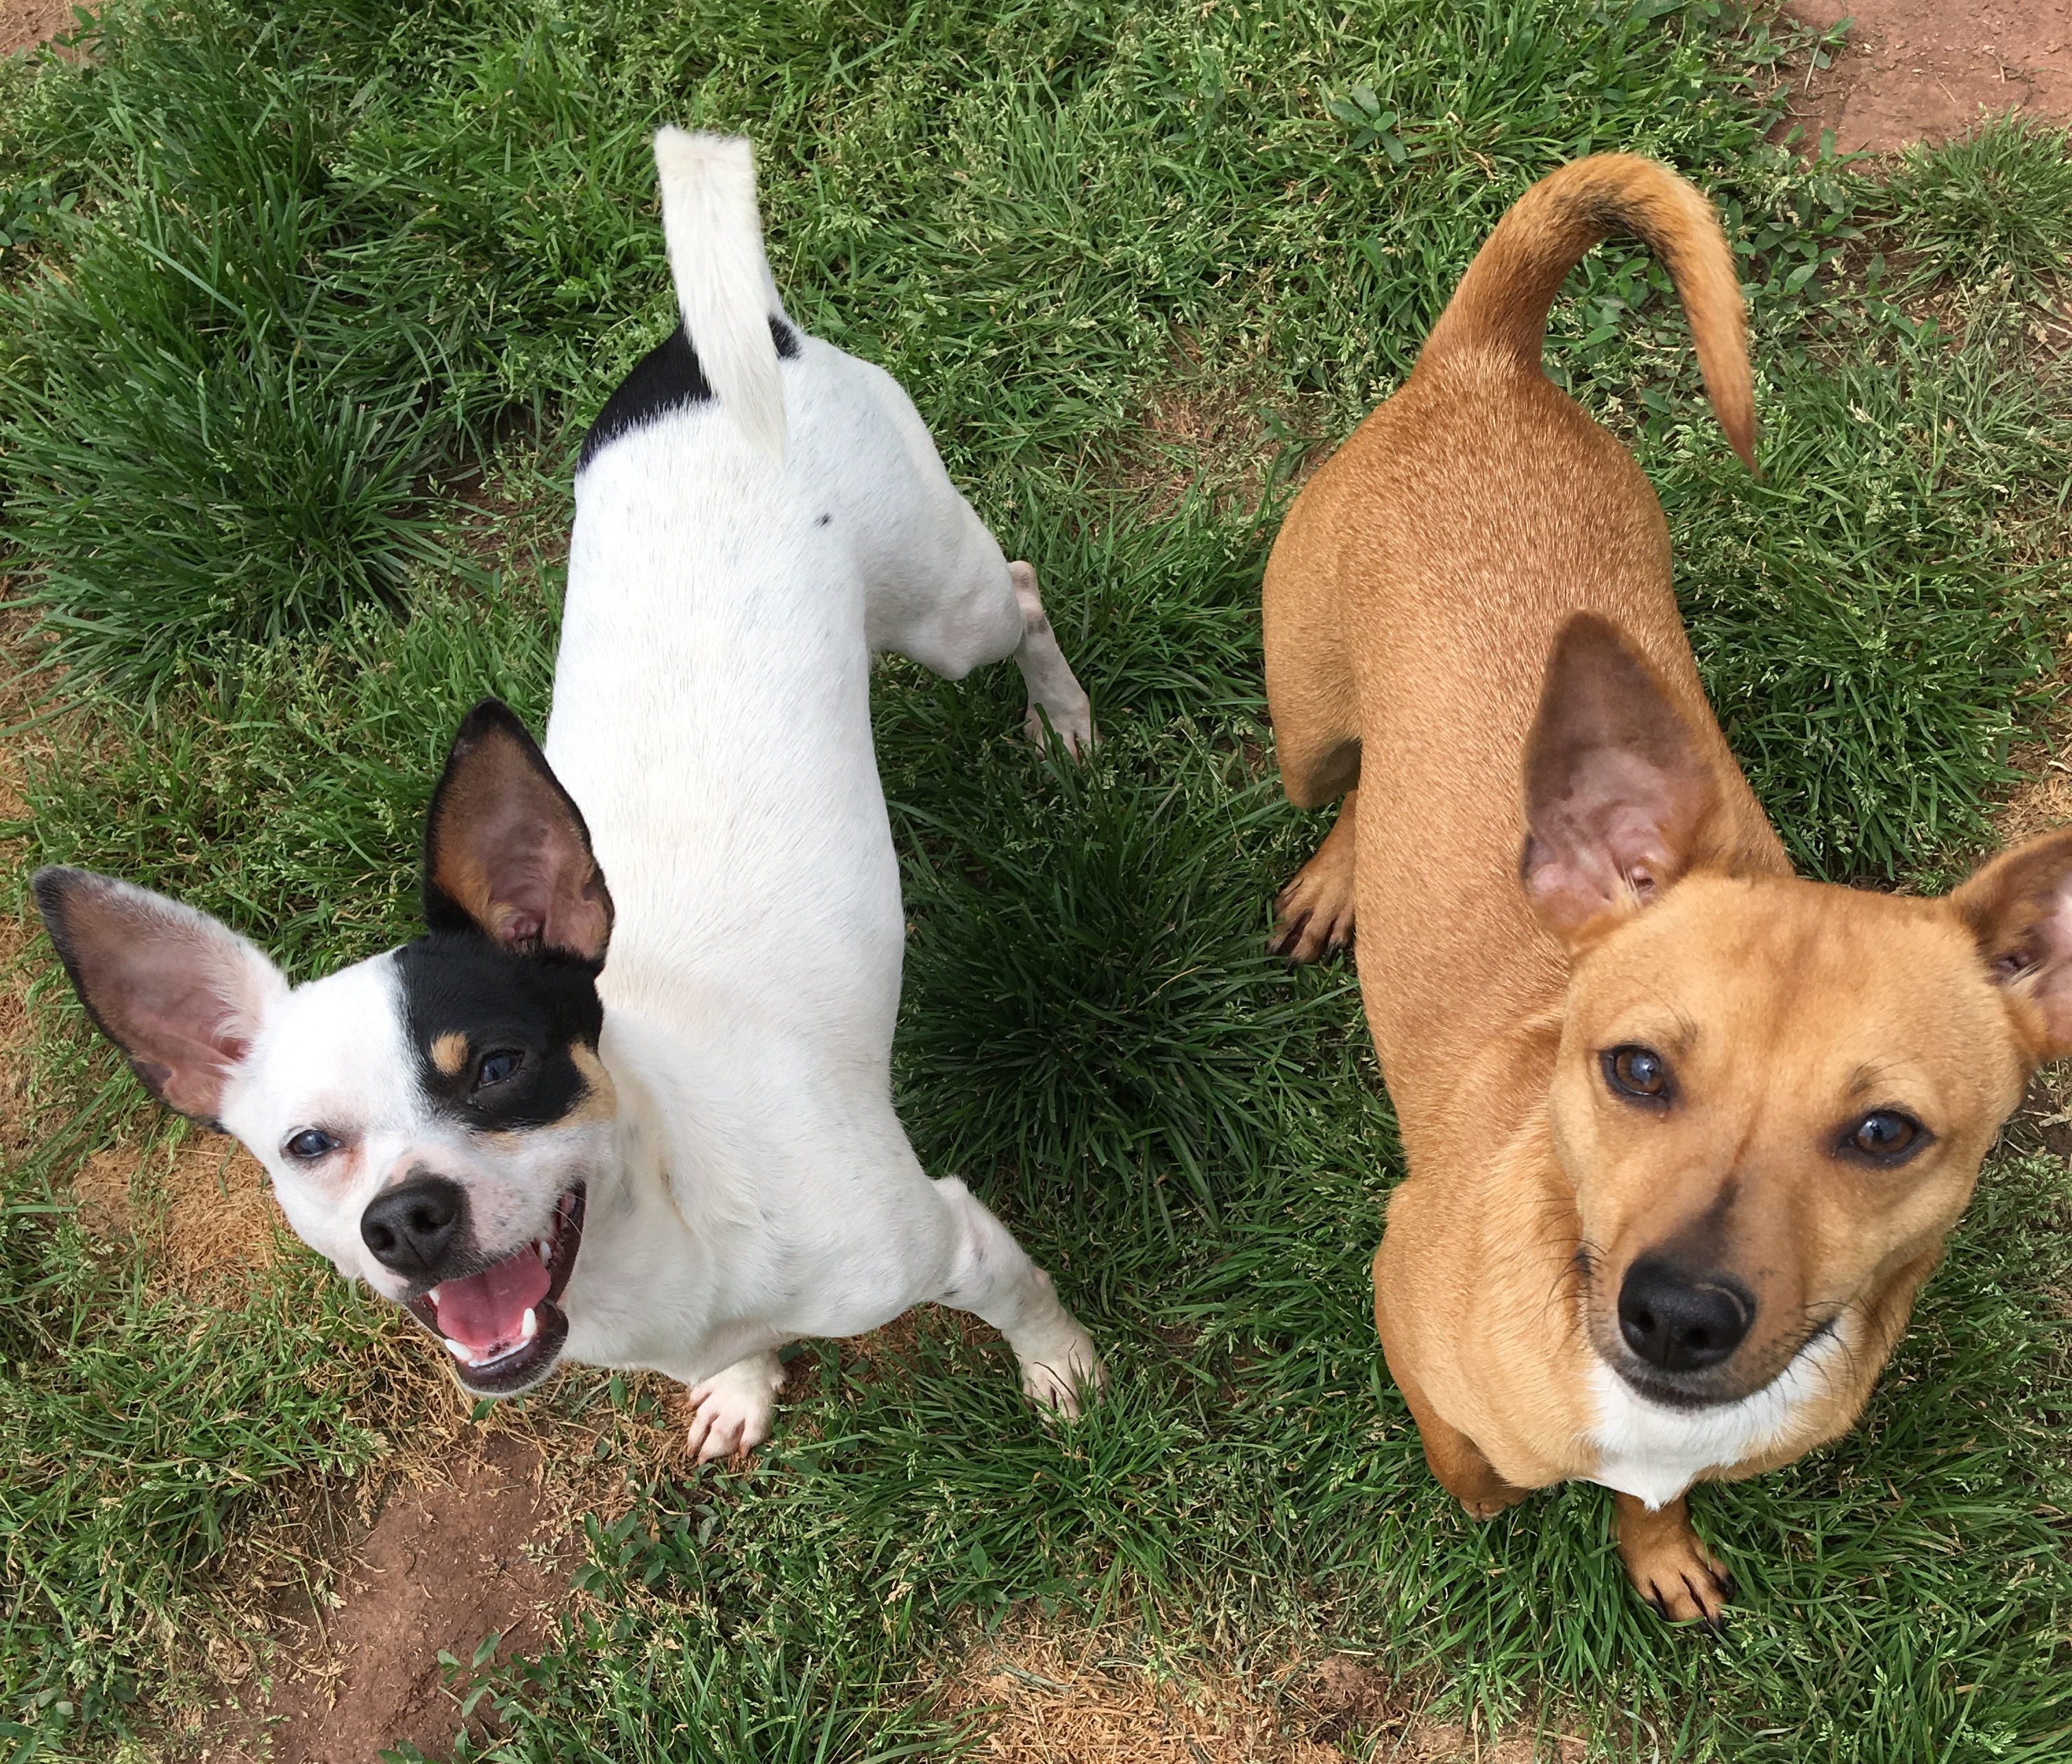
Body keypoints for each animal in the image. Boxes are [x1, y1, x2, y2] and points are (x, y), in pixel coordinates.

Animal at [32, 127, 1102, 1459]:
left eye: (496, 1066)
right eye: (308, 1145)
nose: (406, 1217)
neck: (670, 1231)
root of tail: (711, 343)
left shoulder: (948, 1233)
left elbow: (1025, 1299)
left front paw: (1063, 1371)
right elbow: (734, 1358)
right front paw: (742, 1384)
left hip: (946, 611)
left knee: (1020, 593)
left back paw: (1062, 721)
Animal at [1259, 155, 2072, 1625]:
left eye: (1885, 1132)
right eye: (1632, 1069)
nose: (1680, 1313)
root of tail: (1482, 367)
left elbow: (1652, 1498)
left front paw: (1657, 1549)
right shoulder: (1395, 1279)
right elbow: (1466, 1452)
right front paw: (1482, 1490)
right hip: (1302, 718)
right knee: (1342, 779)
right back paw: (1336, 874)